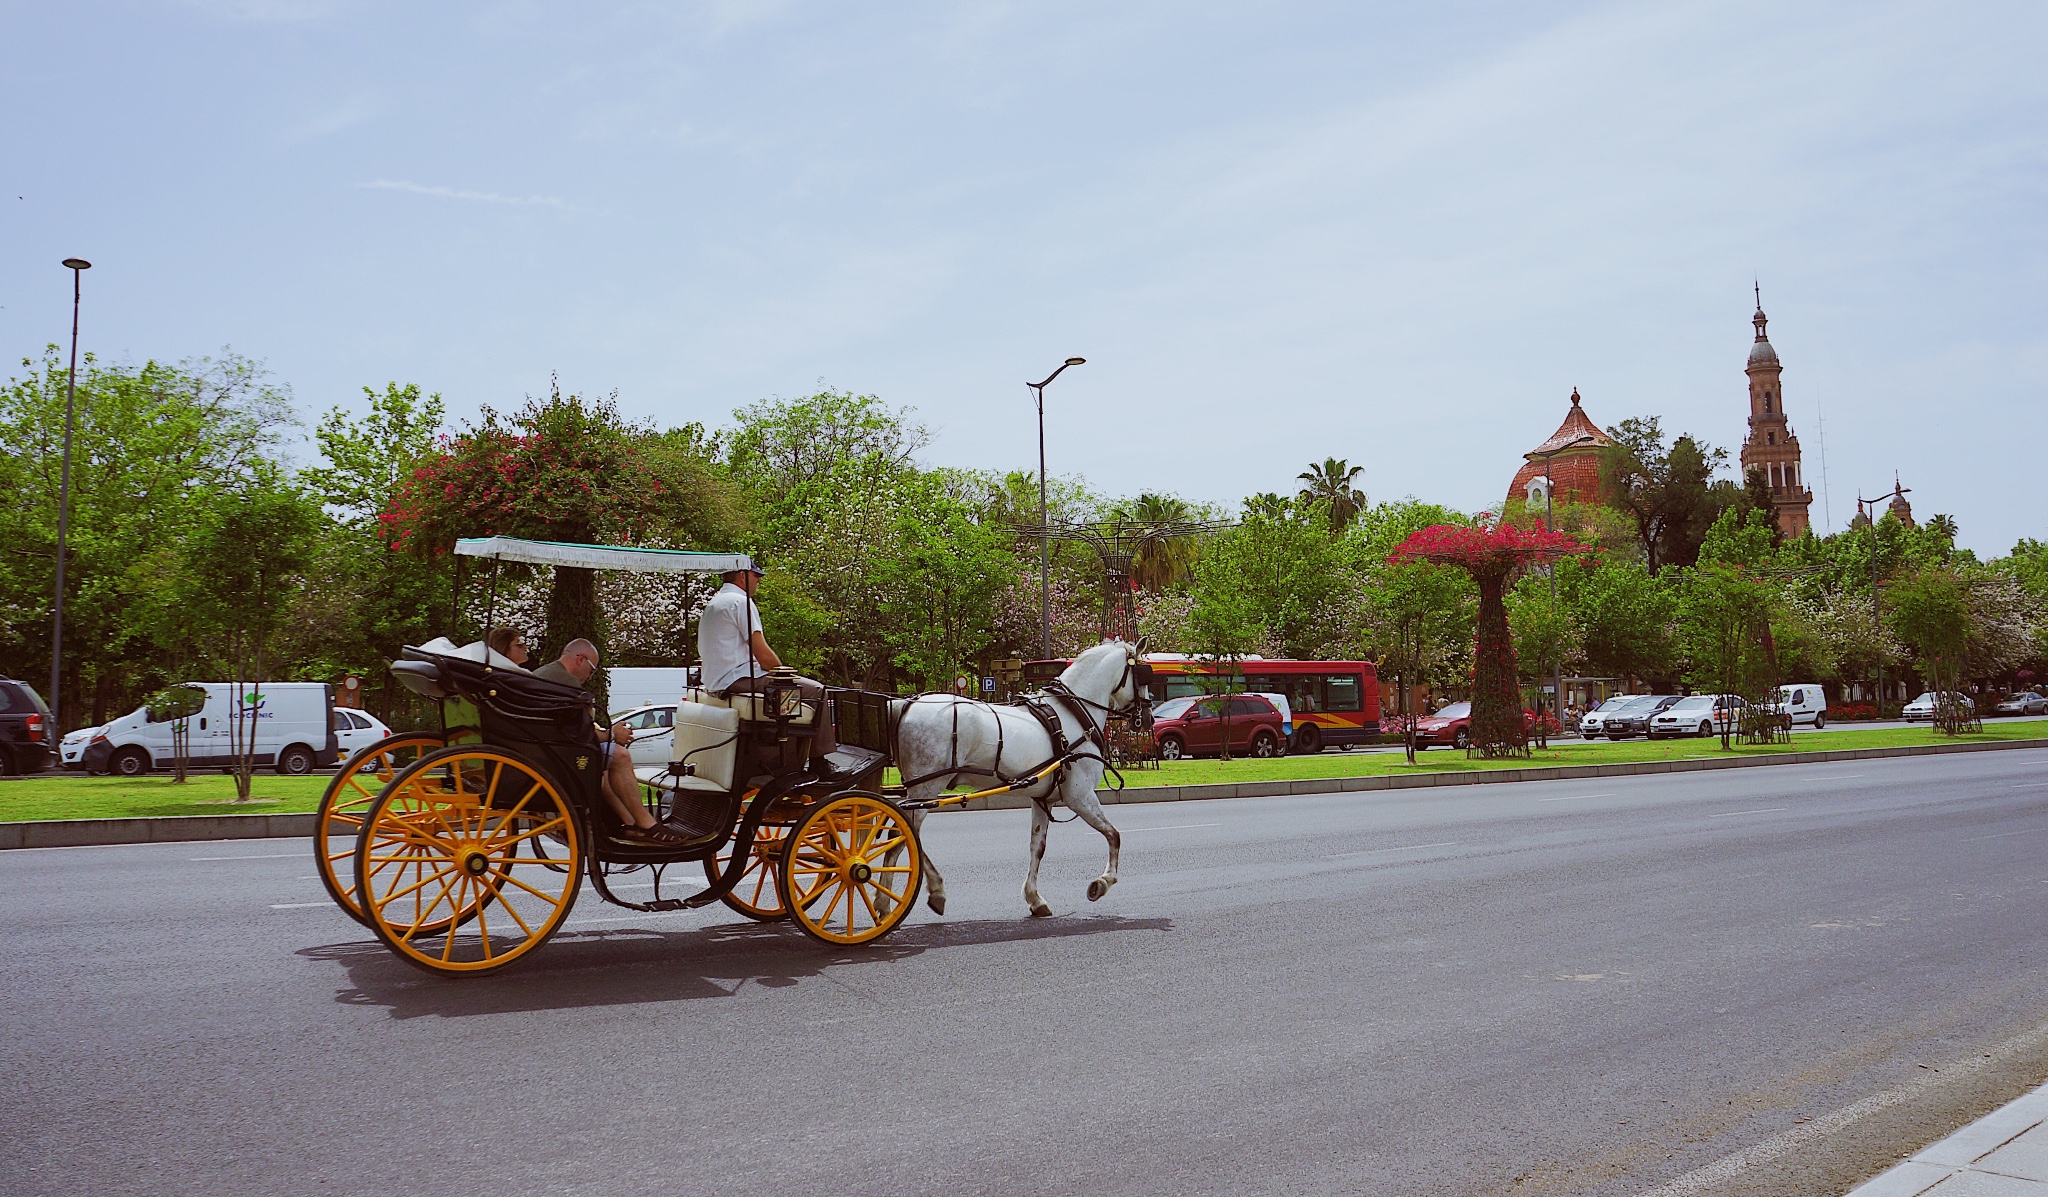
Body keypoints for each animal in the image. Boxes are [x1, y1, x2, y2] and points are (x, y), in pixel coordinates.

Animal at [897, 639, 1155, 922]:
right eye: (1144, 674)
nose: (1149, 717)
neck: (1073, 714)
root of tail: (907, 706)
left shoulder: (1043, 798)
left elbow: (1037, 847)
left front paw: (1035, 898)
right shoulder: (1080, 797)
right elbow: (1114, 835)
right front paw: (1102, 882)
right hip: (925, 789)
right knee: (900, 838)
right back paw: (907, 898)